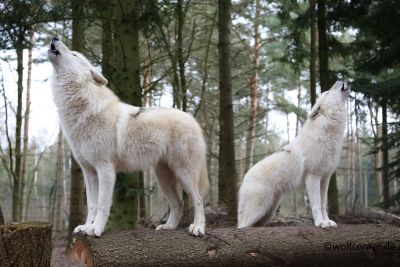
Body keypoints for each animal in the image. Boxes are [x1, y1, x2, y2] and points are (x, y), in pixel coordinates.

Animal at [48, 37, 208, 237]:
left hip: (184, 174)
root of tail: (193, 119)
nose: (55, 38)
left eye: (74, 54)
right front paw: (86, 227)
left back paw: (198, 227)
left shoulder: (105, 169)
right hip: (163, 178)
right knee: (178, 203)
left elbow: (102, 204)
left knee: (198, 199)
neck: (83, 108)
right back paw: (168, 226)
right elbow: (92, 205)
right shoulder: (89, 172)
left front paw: (96, 229)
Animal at [238, 81, 350, 228]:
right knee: (240, 226)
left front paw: (327, 222)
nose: (339, 81)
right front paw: (320, 223)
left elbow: (323, 204)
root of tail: (245, 178)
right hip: (258, 210)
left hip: (267, 212)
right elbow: (316, 205)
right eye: (327, 92)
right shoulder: (313, 177)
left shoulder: (325, 178)